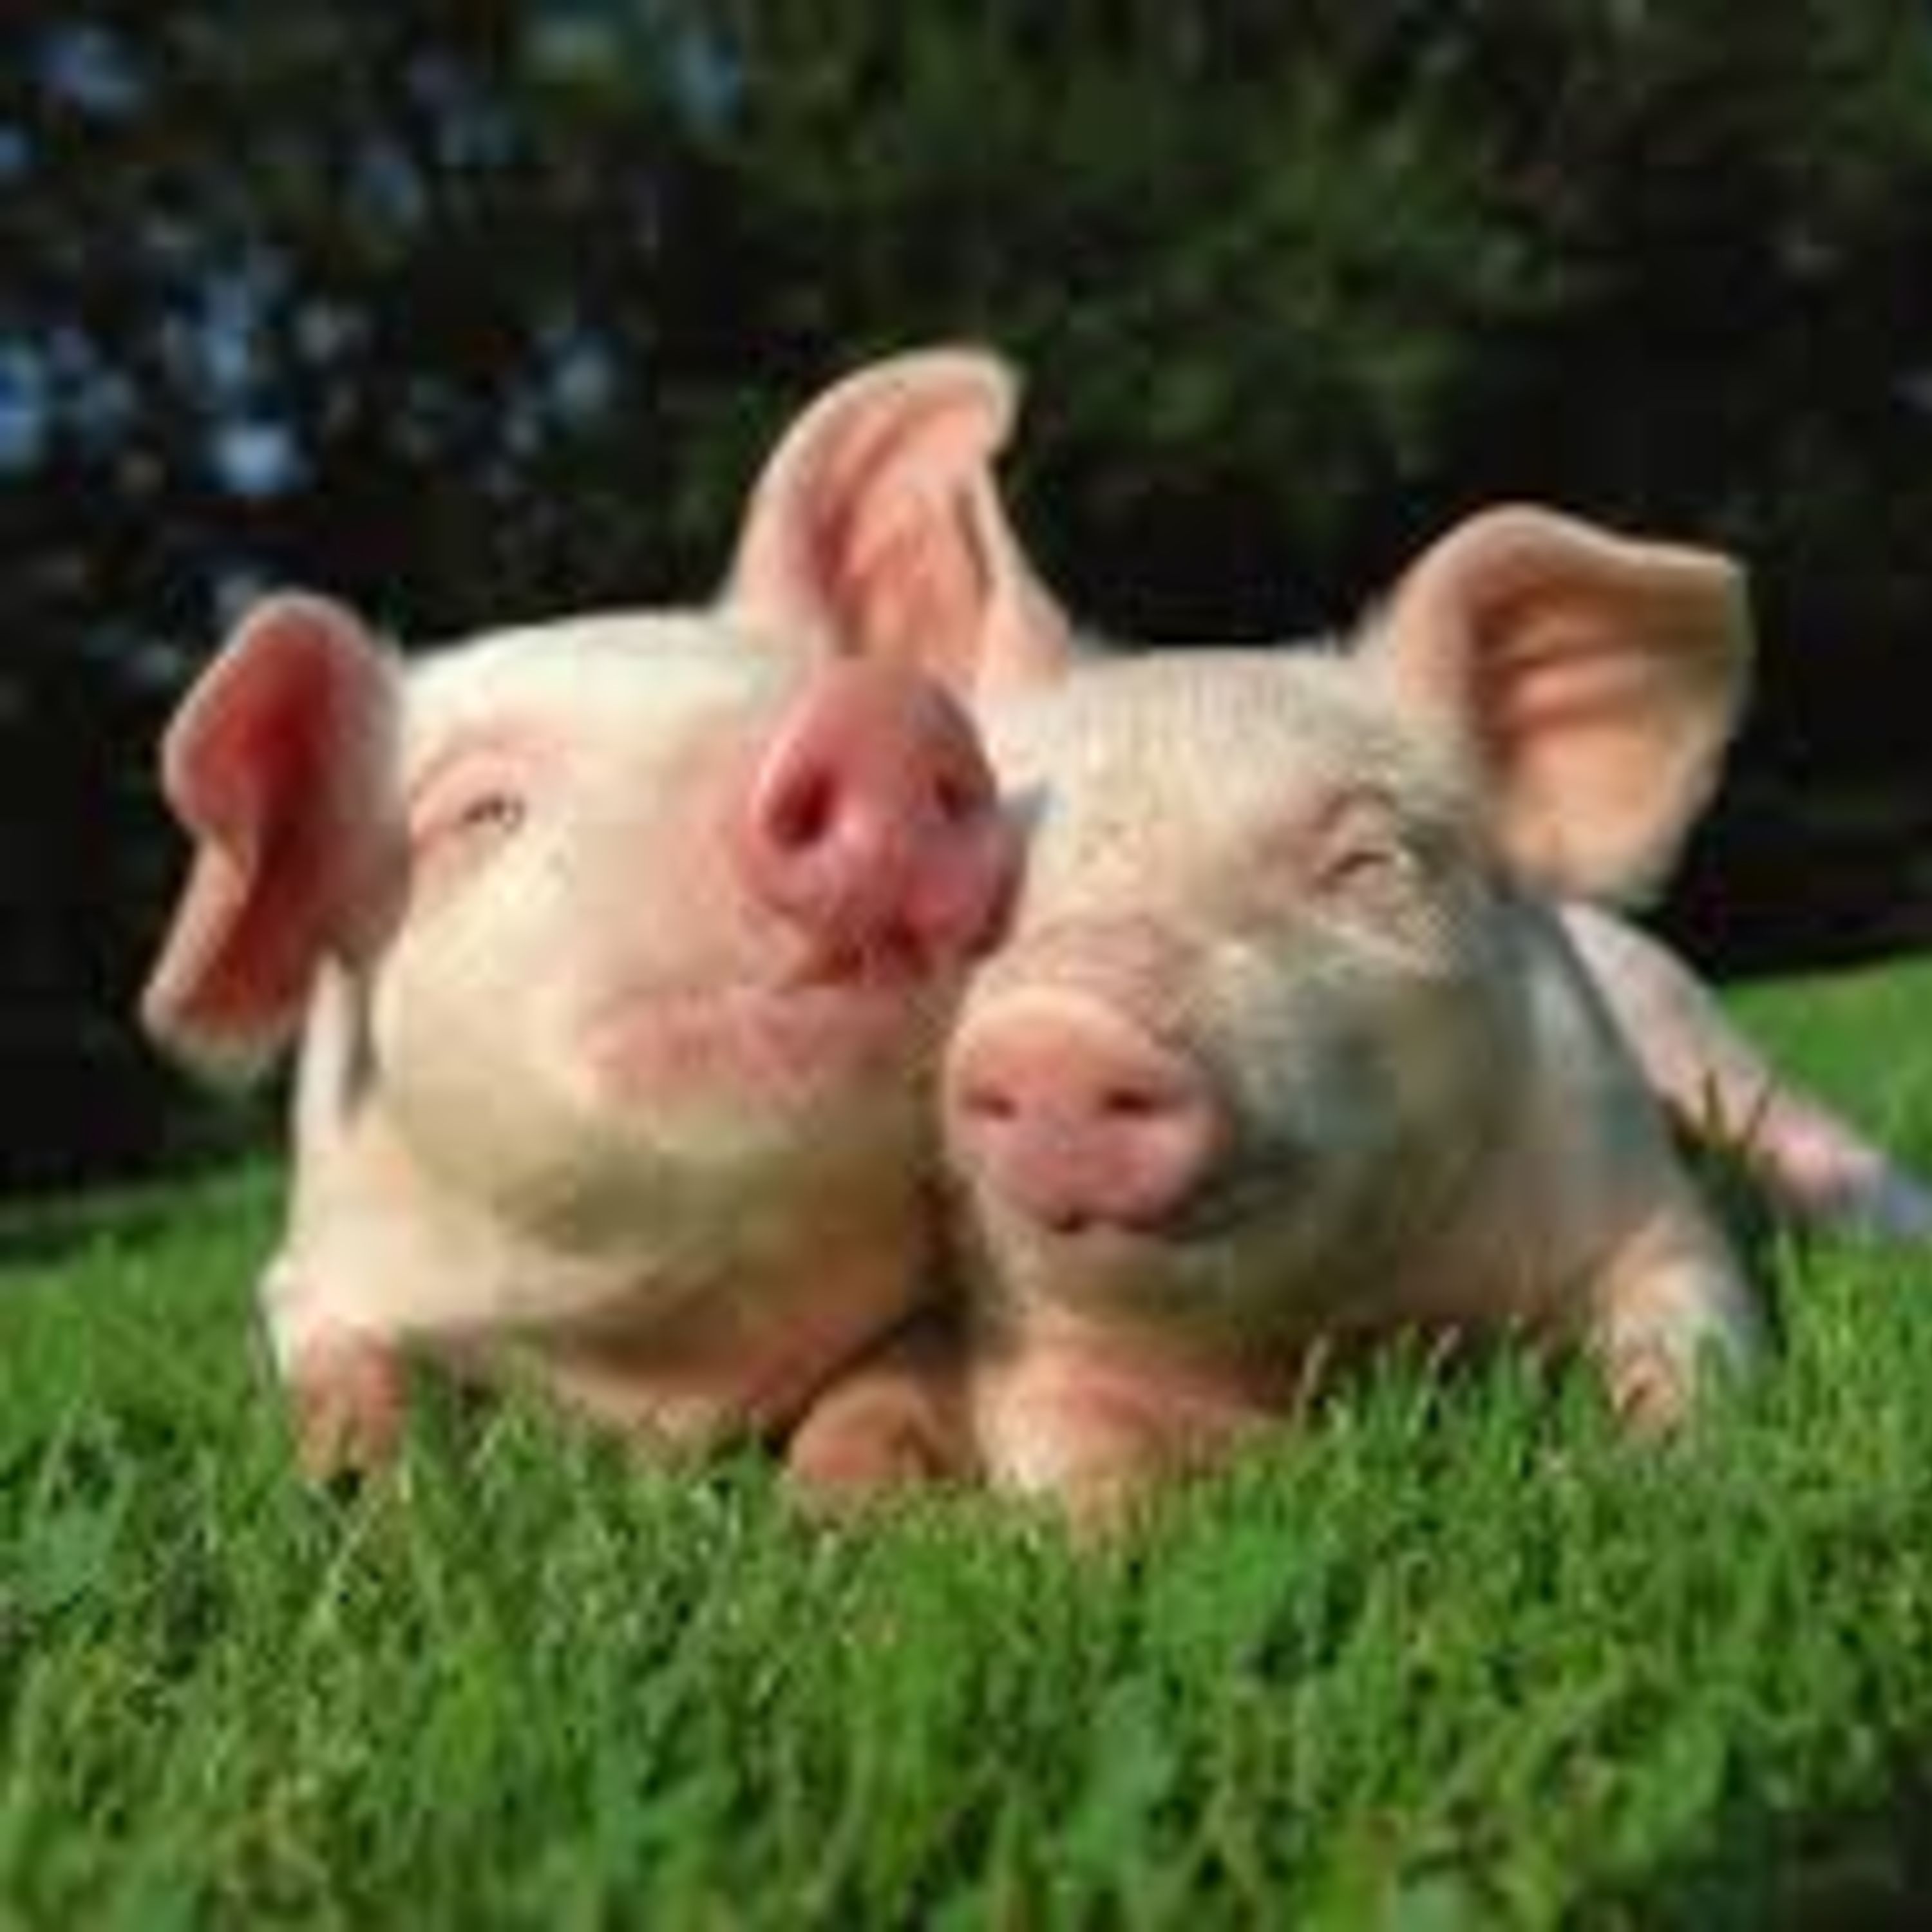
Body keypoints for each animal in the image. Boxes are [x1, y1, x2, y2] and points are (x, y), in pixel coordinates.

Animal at [138, 357, 1031, 1475]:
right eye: (482, 812)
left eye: (827, 685)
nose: (882, 718)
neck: (660, 1362)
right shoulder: (309, 1267)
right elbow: (335, 1359)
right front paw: (355, 1482)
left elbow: (894, 1382)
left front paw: (844, 1496)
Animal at [780, 348, 1929, 1515]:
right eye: (976, 893)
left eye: (1365, 867)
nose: (1060, 1030)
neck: (1354, 1322)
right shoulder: (1033, 1339)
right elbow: (1068, 1458)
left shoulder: (1634, 1192)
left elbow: (1693, 1331)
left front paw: (1652, 1475)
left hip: (1699, 1029)